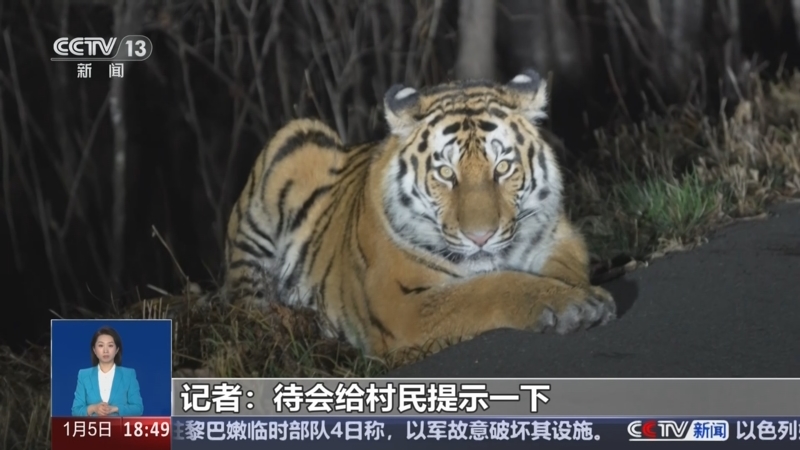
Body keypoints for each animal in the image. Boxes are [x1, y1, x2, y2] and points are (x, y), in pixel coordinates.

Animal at [221, 69, 617, 357]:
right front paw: (570, 305)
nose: (481, 237)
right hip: (294, 142)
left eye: (502, 167)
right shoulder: (400, 303)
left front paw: (581, 295)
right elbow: (484, 290)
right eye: (445, 173)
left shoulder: (561, 238)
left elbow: (563, 269)